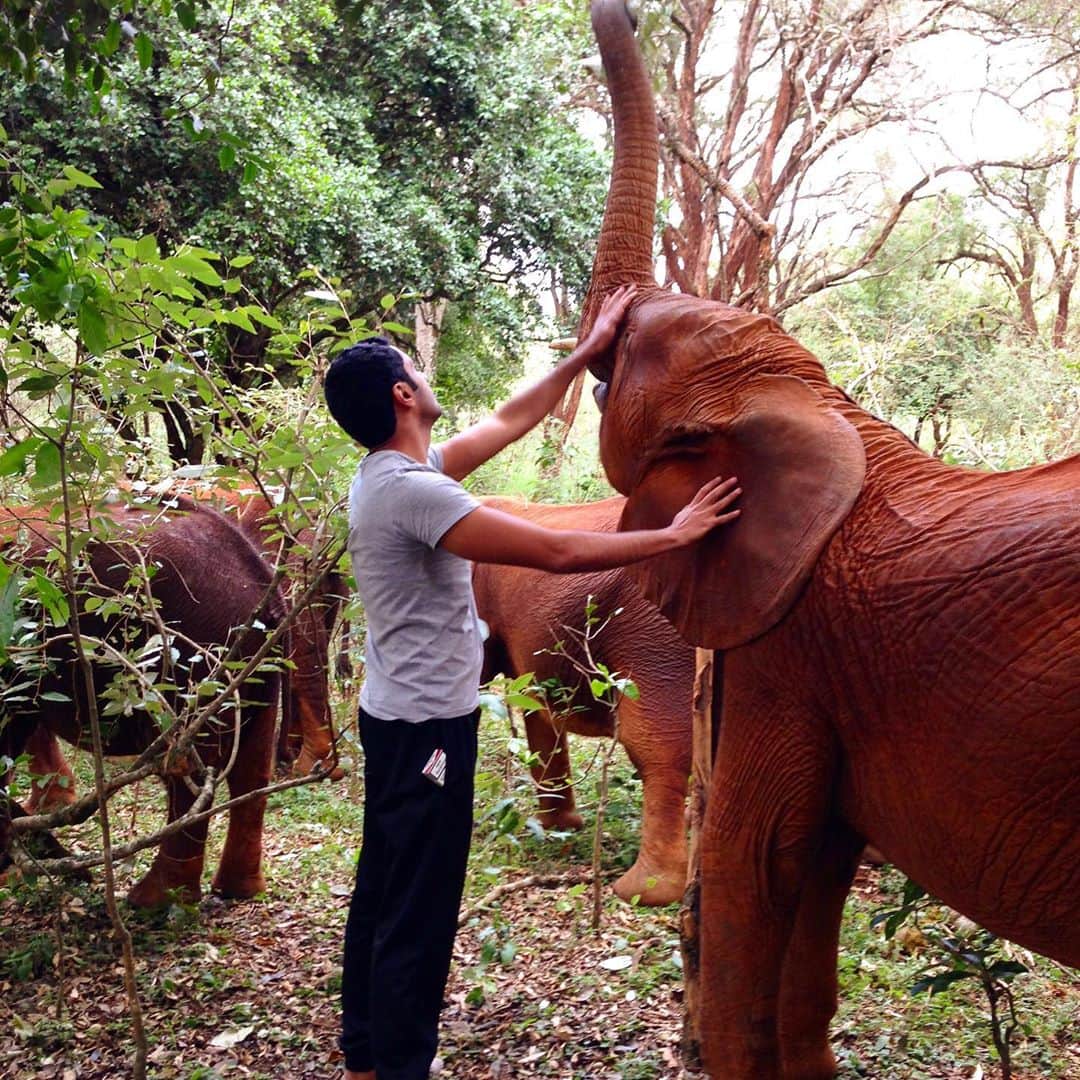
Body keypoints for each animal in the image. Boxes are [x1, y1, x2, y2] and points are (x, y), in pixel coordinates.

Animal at [0, 496, 286, 907]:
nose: (81, 878)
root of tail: (265, 590)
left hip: (191, 656)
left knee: (185, 769)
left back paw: (153, 899)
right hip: (257, 664)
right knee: (250, 768)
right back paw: (237, 890)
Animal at [574, 2, 1080, 1077]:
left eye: (612, 369)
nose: (624, 11)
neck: (824, 401)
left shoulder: (791, 646)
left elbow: (757, 863)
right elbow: (813, 888)